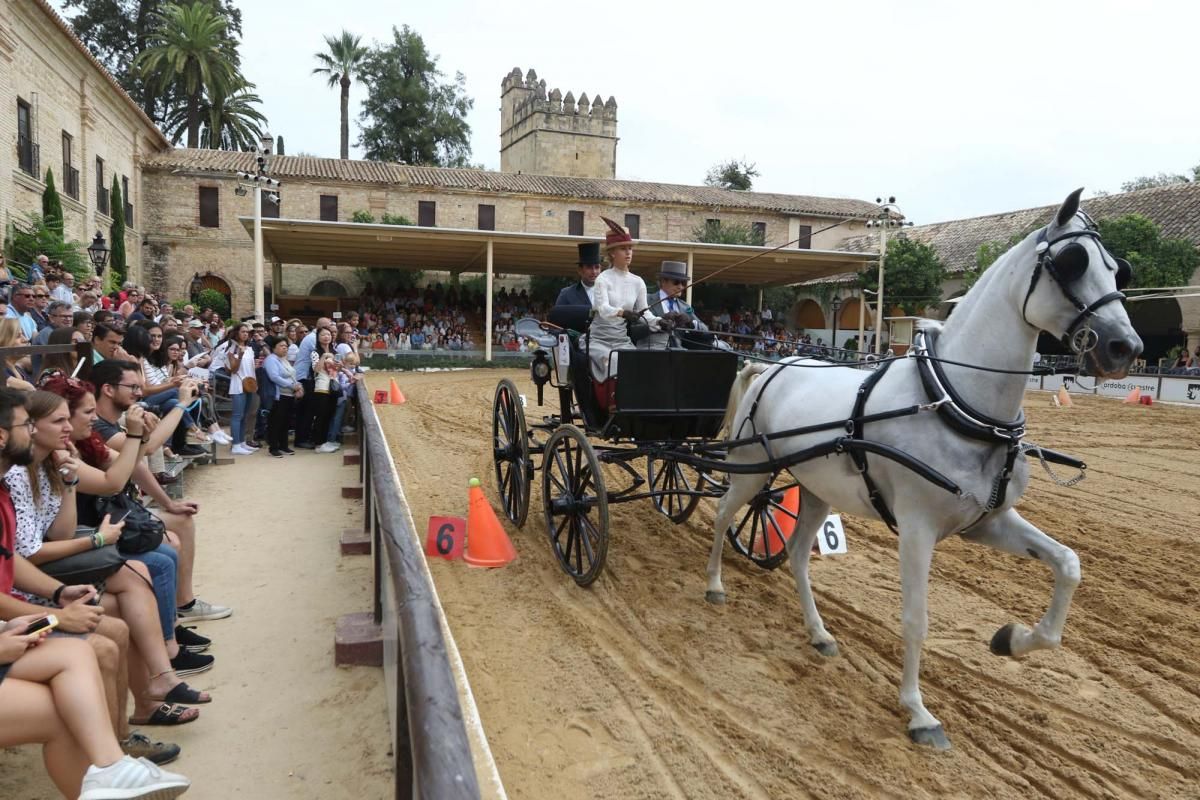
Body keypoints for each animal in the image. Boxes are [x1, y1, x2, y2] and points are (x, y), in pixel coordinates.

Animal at [705, 189, 1137, 753]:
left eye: (1118, 268)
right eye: (1072, 262)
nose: (1125, 347)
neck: (953, 402)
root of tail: (772, 364)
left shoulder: (986, 522)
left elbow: (1067, 564)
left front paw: (1012, 640)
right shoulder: (917, 529)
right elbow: (915, 618)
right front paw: (918, 712)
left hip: (814, 488)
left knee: (797, 555)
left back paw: (819, 633)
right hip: (752, 473)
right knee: (721, 514)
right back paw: (714, 585)